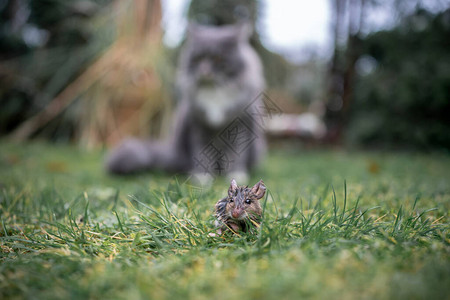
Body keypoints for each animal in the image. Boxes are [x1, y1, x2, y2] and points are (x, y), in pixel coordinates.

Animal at [104, 22, 268, 183]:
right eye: (197, 58)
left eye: (217, 58)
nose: (204, 71)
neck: (213, 92)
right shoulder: (197, 126)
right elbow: (201, 152)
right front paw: (202, 178)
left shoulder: (240, 126)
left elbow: (237, 156)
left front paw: (236, 176)